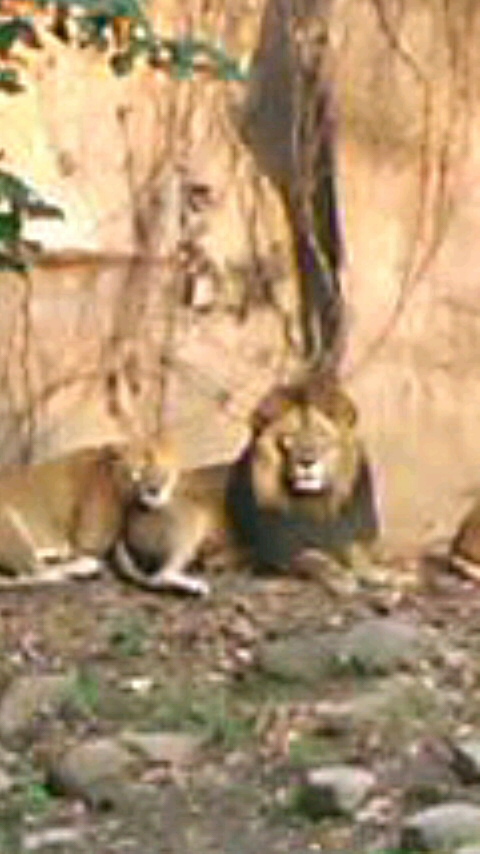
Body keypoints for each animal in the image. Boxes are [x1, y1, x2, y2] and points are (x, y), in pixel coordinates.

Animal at [225, 374, 378, 576]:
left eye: (321, 435)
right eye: (289, 437)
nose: (307, 462)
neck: (312, 502)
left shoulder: (353, 539)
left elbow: (357, 554)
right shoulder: (280, 551)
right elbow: (311, 558)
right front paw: (336, 572)